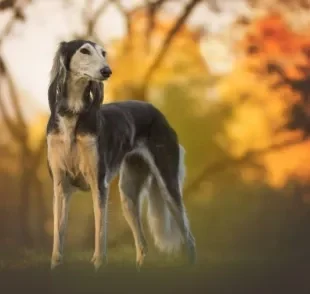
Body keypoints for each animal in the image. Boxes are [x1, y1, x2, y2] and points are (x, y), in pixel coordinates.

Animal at [46, 39, 196, 272]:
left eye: (103, 53)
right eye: (84, 50)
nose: (107, 71)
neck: (73, 115)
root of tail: (158, 112)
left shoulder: (99, 184)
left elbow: (100, 232)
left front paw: (99, 265)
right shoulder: (60, 185)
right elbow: (58, 234)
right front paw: (56, 265)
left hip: (168, 184)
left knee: (188, 237)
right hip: (129, 194)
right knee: (142, 243)